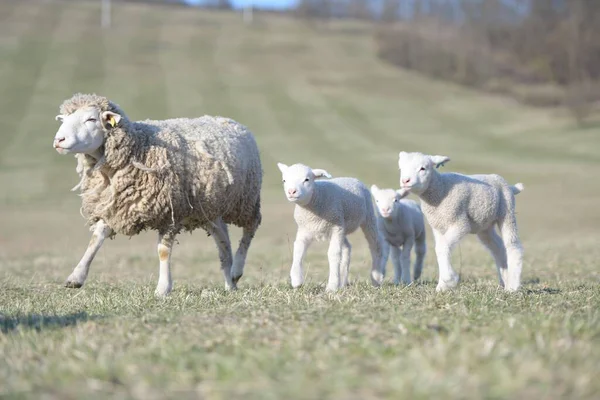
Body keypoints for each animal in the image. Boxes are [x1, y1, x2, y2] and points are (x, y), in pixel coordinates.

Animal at [52, 92, 264, 296]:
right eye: (64, 119)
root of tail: (232, 122)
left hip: (247, 199)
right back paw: (230, 283)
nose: (58, 140)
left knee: (250, 229)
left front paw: (163, 288)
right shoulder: (115, 206)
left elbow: (163, 251)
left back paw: (237, 269)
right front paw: (76, 277)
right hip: (210, 209)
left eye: (91, 119)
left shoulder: (171, 212)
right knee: (223, 242)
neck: (138, 148)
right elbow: (95, 239)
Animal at [276, 162, 384, 290]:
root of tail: (353, 178)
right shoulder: (304, 230)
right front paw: (296, 280)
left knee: (375, 245)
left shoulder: (336, 228)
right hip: (342, 226)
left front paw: (332, 286)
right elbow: (298, 251)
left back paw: (376, 278)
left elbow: (333, 254)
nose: (292, 191)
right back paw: (342, 282)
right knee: (347, 248)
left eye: (307, 179)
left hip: (367, 217)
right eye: (284, 180)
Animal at [398, 152, 524, 292]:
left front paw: (449, 280)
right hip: (484, 226)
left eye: (423, 168)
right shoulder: (438, 227)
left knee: (513, 246)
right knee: (498, 247)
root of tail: (511, 187)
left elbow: (443, 247)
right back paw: (504, 280)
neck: (441, 189)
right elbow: (440, 249)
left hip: (507, 213)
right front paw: (443, 285)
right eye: (401, 168)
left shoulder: (460, 223)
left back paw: (512, 286)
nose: (405, 181)